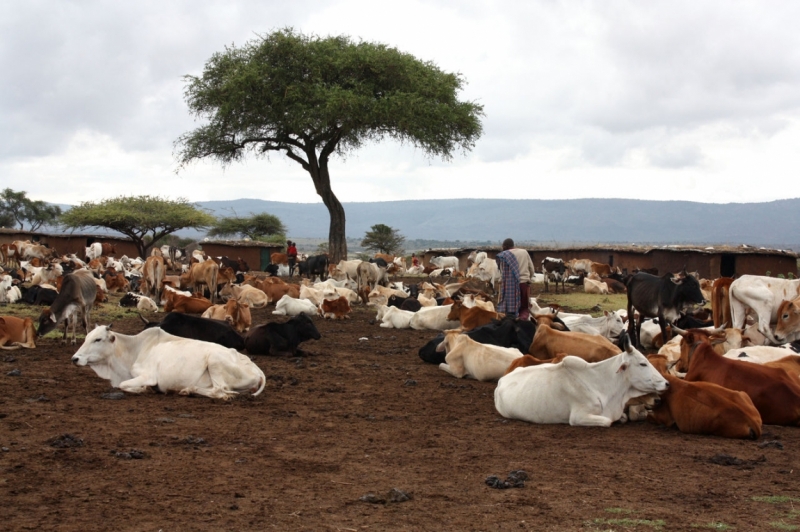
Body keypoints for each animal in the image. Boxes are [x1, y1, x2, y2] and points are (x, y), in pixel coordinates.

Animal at [72, 324, 266, 400]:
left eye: (97, 339)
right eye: (86, 337)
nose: (75, 358)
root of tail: (257, 369)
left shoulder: (148, 376)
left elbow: (124, 385)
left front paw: (143, 390)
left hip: (214, 361)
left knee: (220, 391)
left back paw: (188, 390)